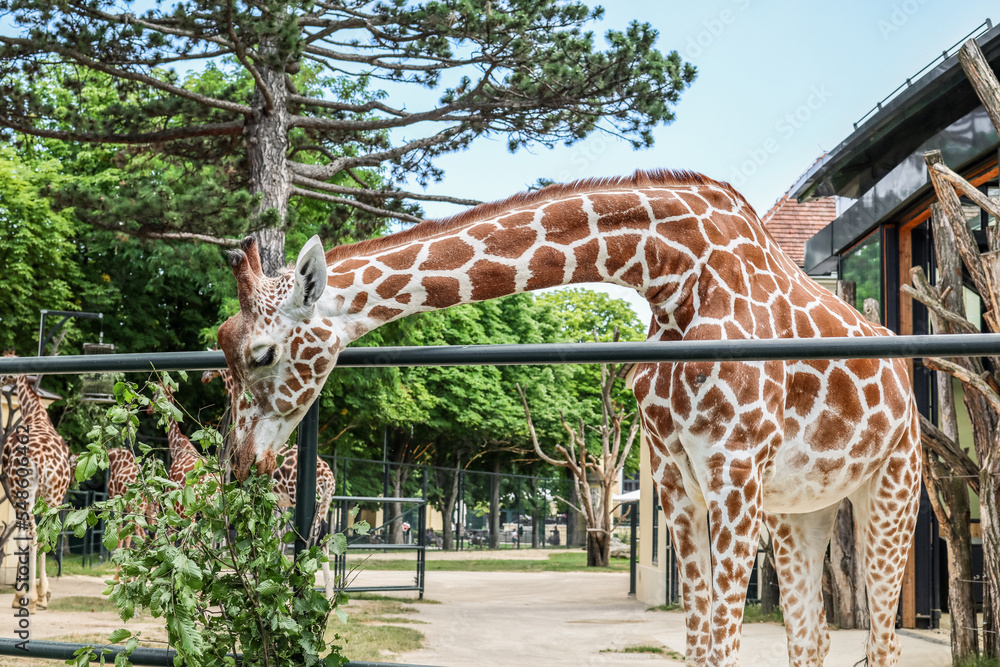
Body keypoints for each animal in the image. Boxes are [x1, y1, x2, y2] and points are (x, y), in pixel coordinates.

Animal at [0, 352, 73, 612]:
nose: (1, 380)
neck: (35, 413)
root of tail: (40, 461)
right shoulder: (46, 497)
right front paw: (44, 594)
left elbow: (22, 533)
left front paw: (21, 594)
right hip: (54, 494)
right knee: (46, 532)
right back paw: (39, 596)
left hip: (24, 490)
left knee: (31, 531)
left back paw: (27, 598)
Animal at [217, 170, 920, 664]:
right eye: (221, 349)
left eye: (261, 353)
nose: (241, 463)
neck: (672, 274)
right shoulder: (678, 479)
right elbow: (698, 646)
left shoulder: (735, 467)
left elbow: (723, 645)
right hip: (800, 511)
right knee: (813, 636)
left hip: (893, 489)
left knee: (882, 639)